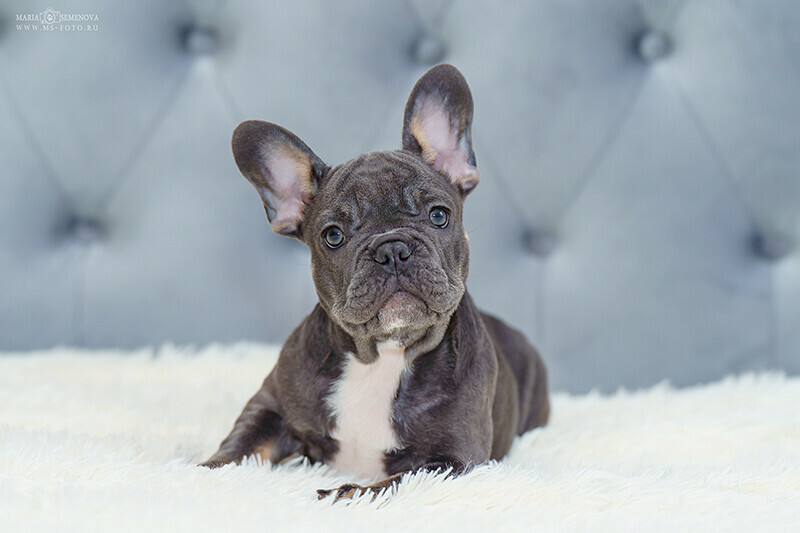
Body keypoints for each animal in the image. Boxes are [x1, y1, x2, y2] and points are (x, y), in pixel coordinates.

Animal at [203, 64, 548, 500]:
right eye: (333, 236)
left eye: (439, 215)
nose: (392, 249)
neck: (383, 356)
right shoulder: (270, 406)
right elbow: (240, 445)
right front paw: (201, 470)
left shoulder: (452, 459)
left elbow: (387, 483)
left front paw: (342, 493)